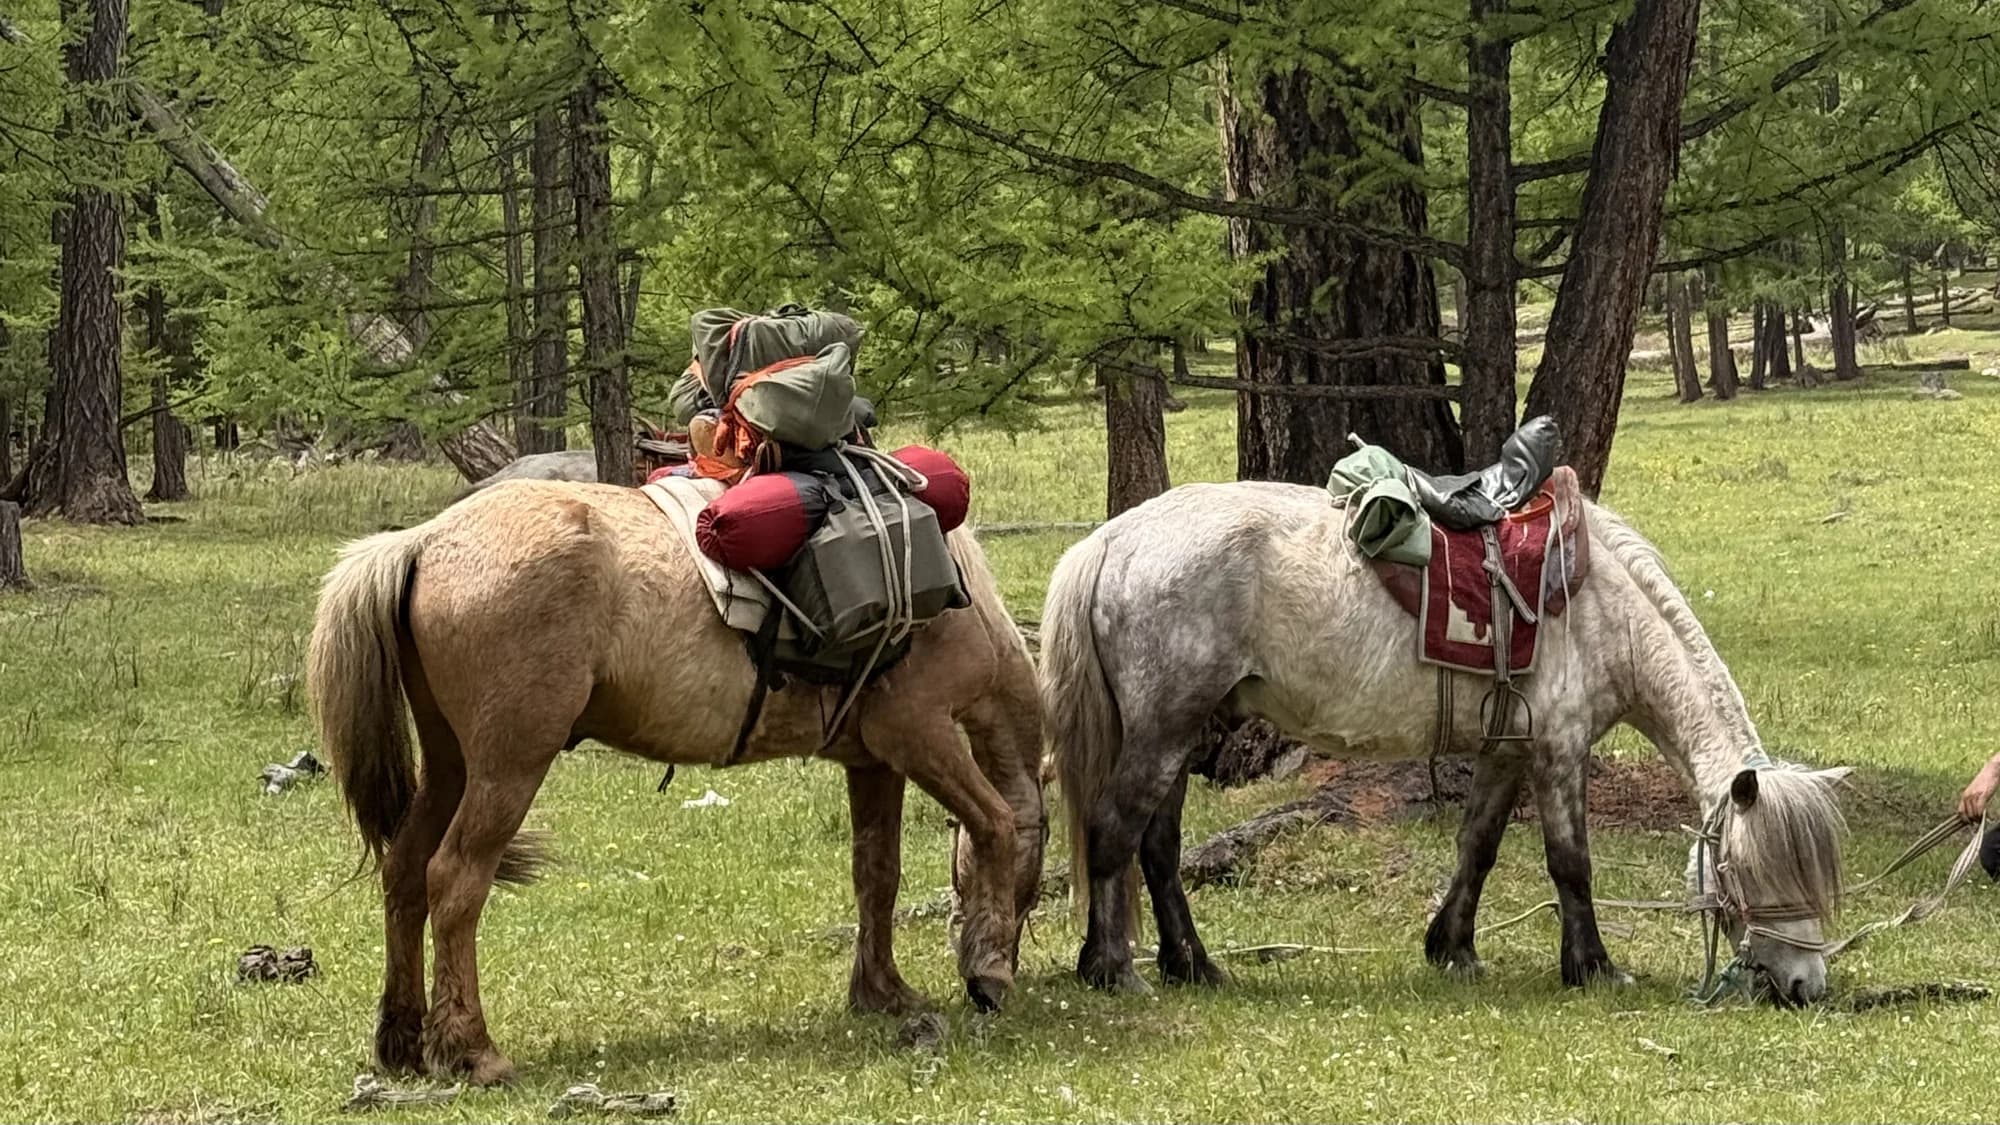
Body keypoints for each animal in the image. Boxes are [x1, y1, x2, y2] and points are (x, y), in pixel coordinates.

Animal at [307, 480, 1045, 1084]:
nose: (1011, 944)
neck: (958, 600)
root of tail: (424, 540)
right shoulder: (919, 735)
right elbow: (993, 823)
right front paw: (988, 972)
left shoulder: (874, 762)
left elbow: (877, 875)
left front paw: (884, 990)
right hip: (507, 767)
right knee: (455, 879)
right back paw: (471, 1048)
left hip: (451, 765)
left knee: (404, 873)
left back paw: (403, 1039)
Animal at [1041, 481, 1850, 1004]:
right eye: (1763, 872)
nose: (1804, 986)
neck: (1601, 609)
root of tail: (1110, 539)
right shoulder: (1560, 750)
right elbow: (1571, 864)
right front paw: (1592, 966)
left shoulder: (1509, 750)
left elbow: (1478, 846)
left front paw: (1453, 947)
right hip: (1164, 729)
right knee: (1114, 833)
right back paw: (1114, 968)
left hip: (1181, 730)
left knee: (1158, 848)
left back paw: (1192, 966)